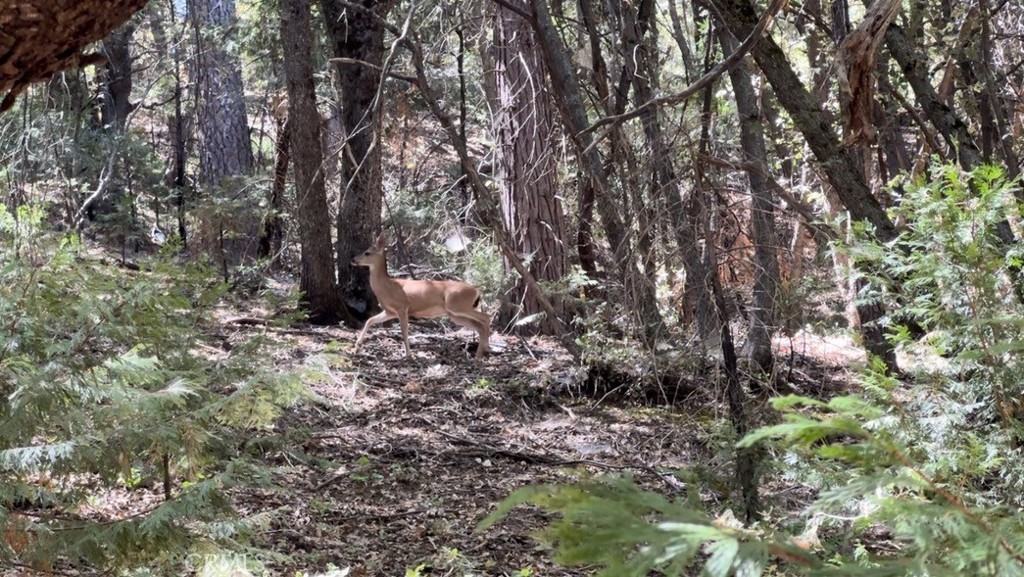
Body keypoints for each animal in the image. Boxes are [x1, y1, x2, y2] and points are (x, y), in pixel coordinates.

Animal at [352, 232, 491, 358]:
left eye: (367, 252)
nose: (353, 260)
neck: (387, 286)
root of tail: (477, 291)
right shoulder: (390, 311)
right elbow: (370, 320)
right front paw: (357, 347)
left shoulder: (402, 307)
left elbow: (404, 331)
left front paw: (409, 355)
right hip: (455, 314)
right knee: (479, 325)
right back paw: (481, 353)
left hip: (457, 305)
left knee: (486, 317)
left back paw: (484, 350)